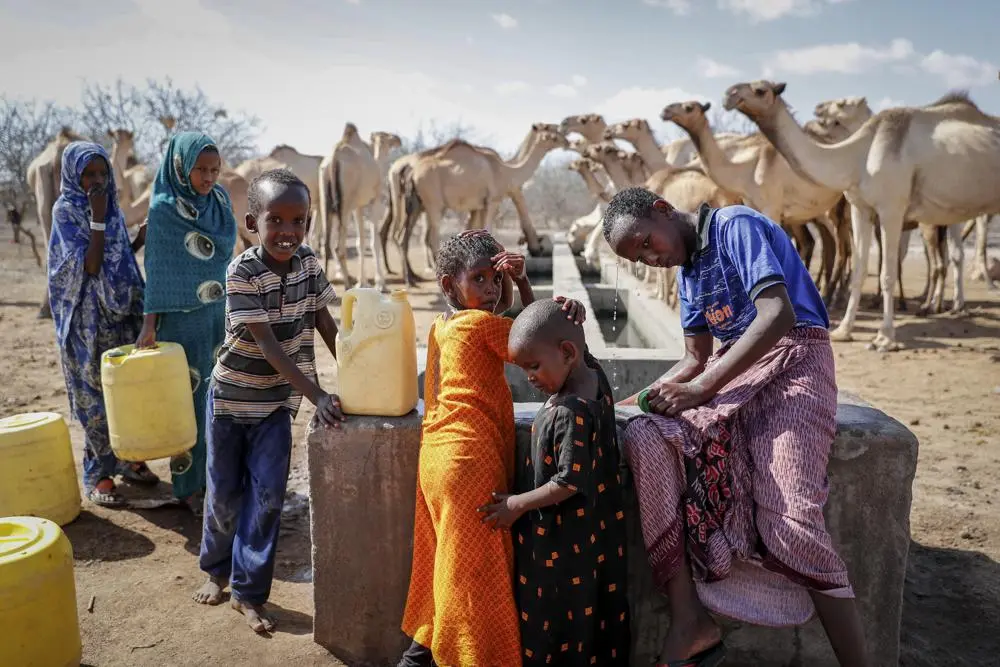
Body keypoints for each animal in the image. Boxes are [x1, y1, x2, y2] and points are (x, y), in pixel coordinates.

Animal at [384, 129, 568, 286]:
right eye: (551, 130)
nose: (566, 141)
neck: (506, 171)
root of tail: (411, 172)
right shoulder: (492, 201)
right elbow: (486, 229)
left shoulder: (478, 206)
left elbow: (472, 230)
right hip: (433, 202)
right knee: (431, 236)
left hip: (416, 204)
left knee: (402, 236)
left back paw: (411, 278)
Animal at [728, 81, 1000, 352]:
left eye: (760, 90)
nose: (729, 94)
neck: (857, 157)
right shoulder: (861, 208)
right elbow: (859, 269)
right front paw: (843, 330)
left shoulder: (891, 207)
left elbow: (887, 273)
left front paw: (885, 337)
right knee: (954, 254)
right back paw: (953, 307)